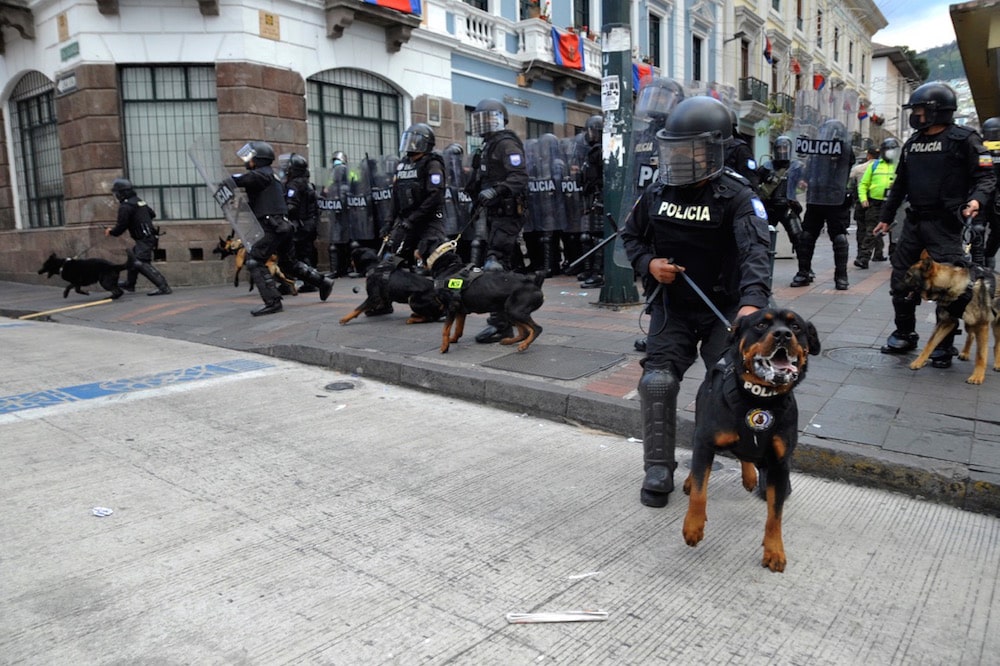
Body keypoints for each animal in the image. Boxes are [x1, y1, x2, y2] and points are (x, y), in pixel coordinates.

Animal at [680, 306, 820, 572]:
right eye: (761, 325)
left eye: (796, 326)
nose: (783, 334)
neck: (760, 399)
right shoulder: (705, 440)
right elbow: (700, 492)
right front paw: (693, 526)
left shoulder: (780, 464)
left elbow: (775, 515)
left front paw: (775, 551)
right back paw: (691, 481)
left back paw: (749, 476)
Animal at [904, 249, 996, 384]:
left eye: (909, 275)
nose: (892, 288)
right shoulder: (947, 322)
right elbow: (930, 343)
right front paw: (918, 362)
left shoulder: (982, 325)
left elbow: (981, 354)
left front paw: (977, 376)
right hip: (969, 323)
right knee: (971, 335)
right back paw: (965, 353)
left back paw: (997, 364)